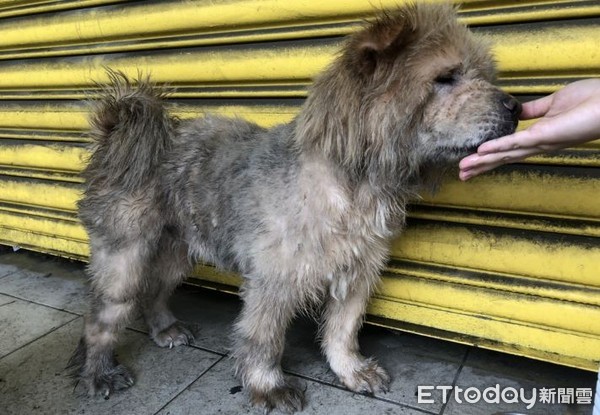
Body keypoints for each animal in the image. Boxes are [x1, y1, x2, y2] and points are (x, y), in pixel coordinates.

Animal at [69, 2, 520, 412]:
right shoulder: (274, 281)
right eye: (446, 77)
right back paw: (98, 373)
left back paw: (165, 330)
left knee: (154, 292)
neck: (352, 185)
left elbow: (342, 331)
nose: (515, 106)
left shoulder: (357, 271)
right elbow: (264, 340)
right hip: (123, 259)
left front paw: (351, 371)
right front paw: (267, 387)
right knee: (99, 318)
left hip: (178, 251)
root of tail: (117, 136)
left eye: (484, 75)